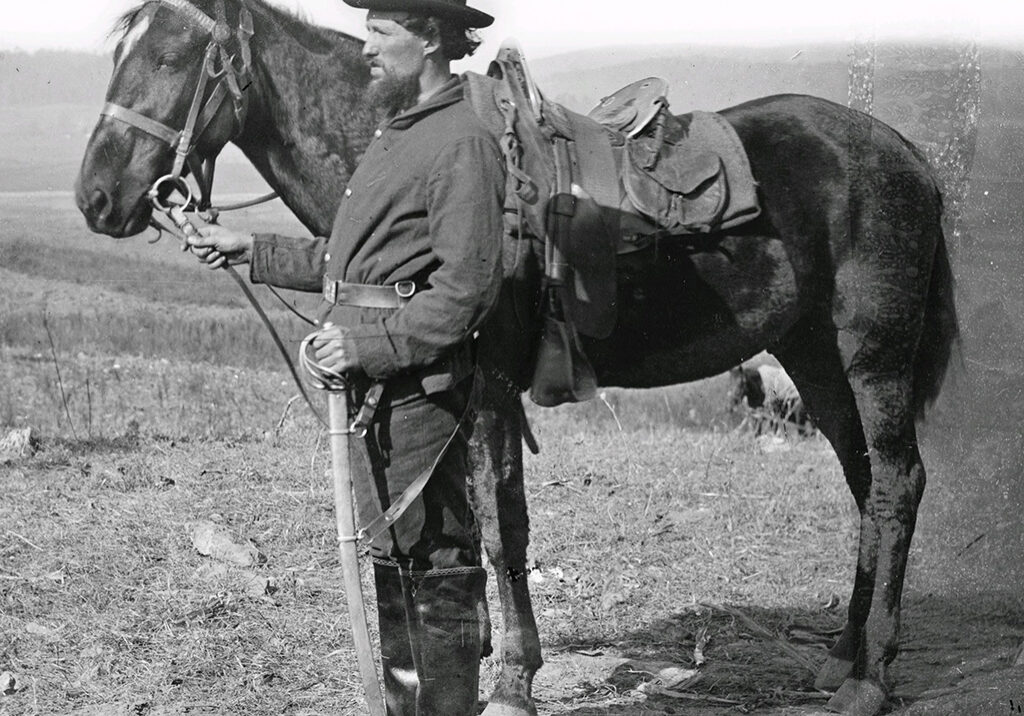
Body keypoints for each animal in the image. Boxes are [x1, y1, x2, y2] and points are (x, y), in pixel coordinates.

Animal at [74, 2, 958, 712]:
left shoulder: (491, 388)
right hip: (811, 356)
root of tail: (906, 152)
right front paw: (489, 660)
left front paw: (509, 680)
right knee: (865, 485)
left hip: (871, 355)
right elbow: (461, 534)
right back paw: (841, 653)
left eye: (169, 57)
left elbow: (501, 529)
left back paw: (871, 675)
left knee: (897, 484)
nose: (96, 197)